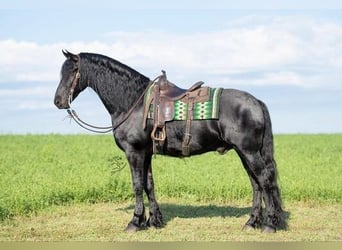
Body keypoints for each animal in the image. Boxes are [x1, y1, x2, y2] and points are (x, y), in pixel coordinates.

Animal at [54, 50, 288, 232]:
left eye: (73, 71)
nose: (58, 101)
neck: (133, 103)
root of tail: (256, 102)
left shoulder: (134, 152)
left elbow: (137, 185)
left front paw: (135, 222)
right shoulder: (146, 153)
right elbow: (149, 184)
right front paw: (154, 220)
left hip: (248, 151)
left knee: (265, 180)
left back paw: (269, 224)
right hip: (244, 152)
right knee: (256, 184)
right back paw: (251, 222)